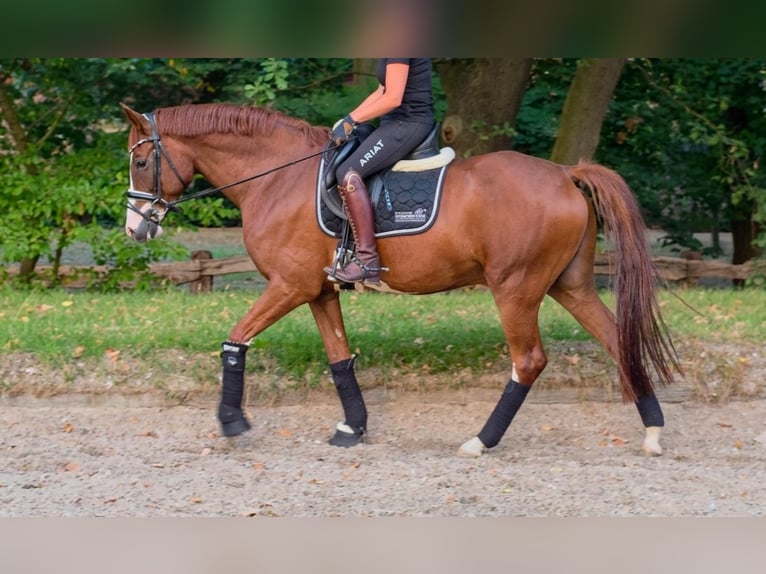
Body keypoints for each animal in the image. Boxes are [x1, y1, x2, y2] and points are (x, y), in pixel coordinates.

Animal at [121, 102, 680, 458]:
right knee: (616, 339)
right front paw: (352, 427)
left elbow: (235, 341)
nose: (135, 228)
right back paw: (653, 432)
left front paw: (232, 421)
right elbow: (339, 358)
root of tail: (565, 173)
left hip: (516, 288)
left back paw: (481, 441)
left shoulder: (288, 286)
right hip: (570, 285)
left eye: (142, 161)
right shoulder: (318, 291)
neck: (277, 177)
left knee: (529, 361)